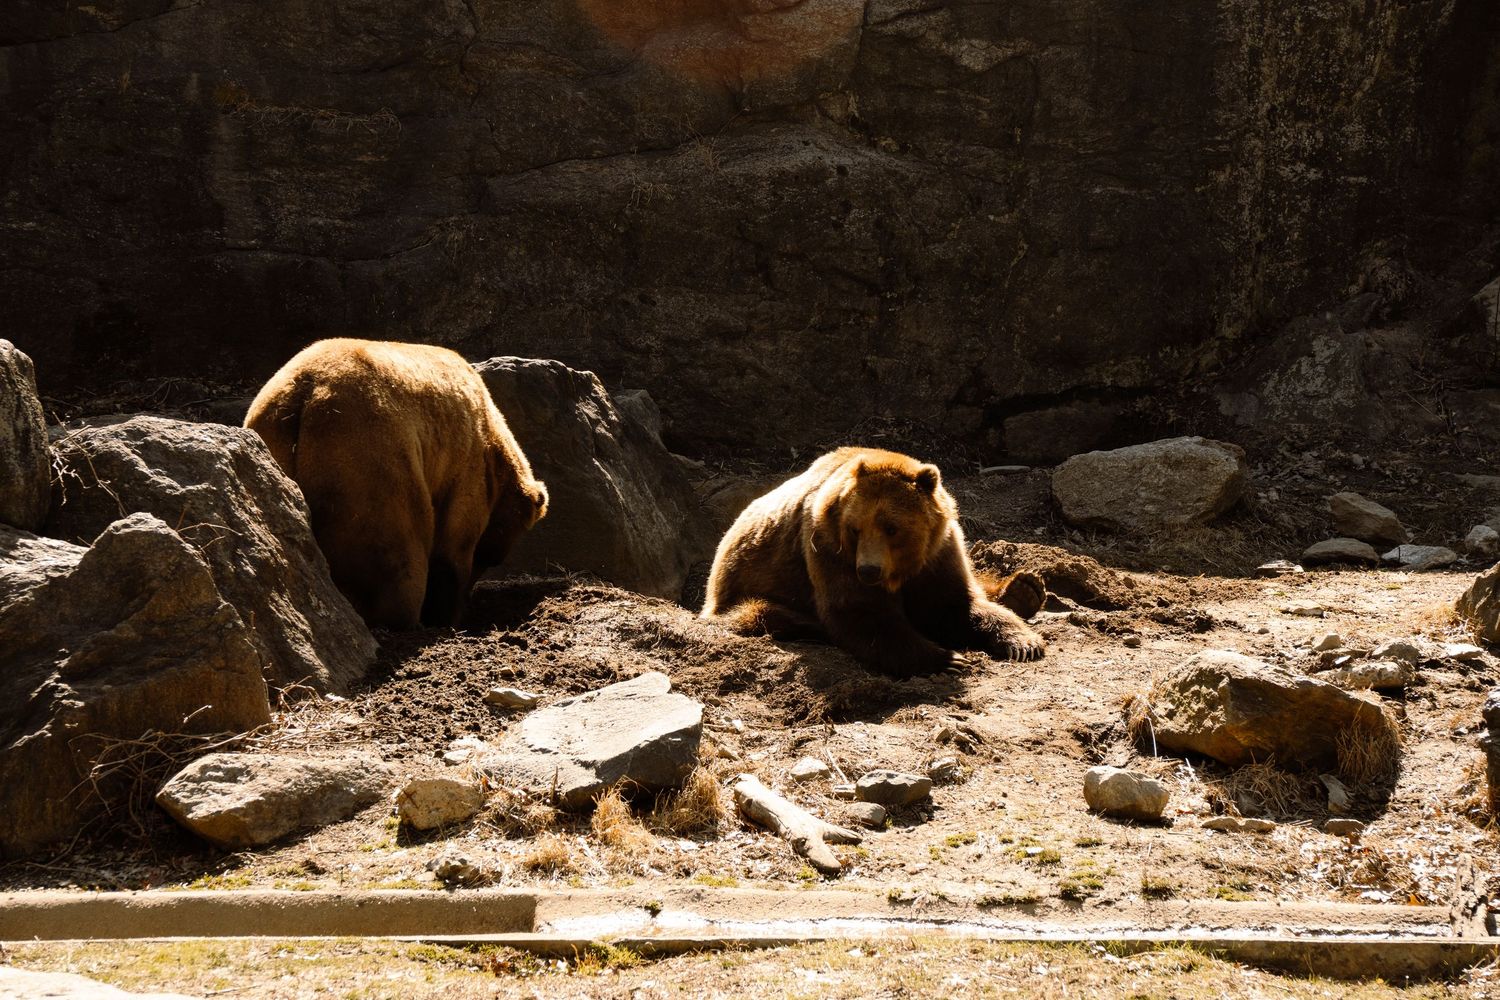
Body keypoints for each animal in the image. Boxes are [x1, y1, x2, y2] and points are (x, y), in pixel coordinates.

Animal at [245, 338, 548, 630]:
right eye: (490, 557)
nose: (471, 595)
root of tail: (303, 397)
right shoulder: (467, 464)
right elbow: (453, 545)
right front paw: (445, 614)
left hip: (273, 439)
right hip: (371, 461)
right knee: (398, 556)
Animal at [701, 446, 1045, 677]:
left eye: (891, 527)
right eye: (856, 528)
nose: (868, 570)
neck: (900, 570)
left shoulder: (938, 551)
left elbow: (955, 603)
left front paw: (1025, 644)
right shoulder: (827, 548)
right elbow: (861, 614)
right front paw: (948, 659)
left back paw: (1026, 588)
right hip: (744, 591)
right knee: (763, 613)